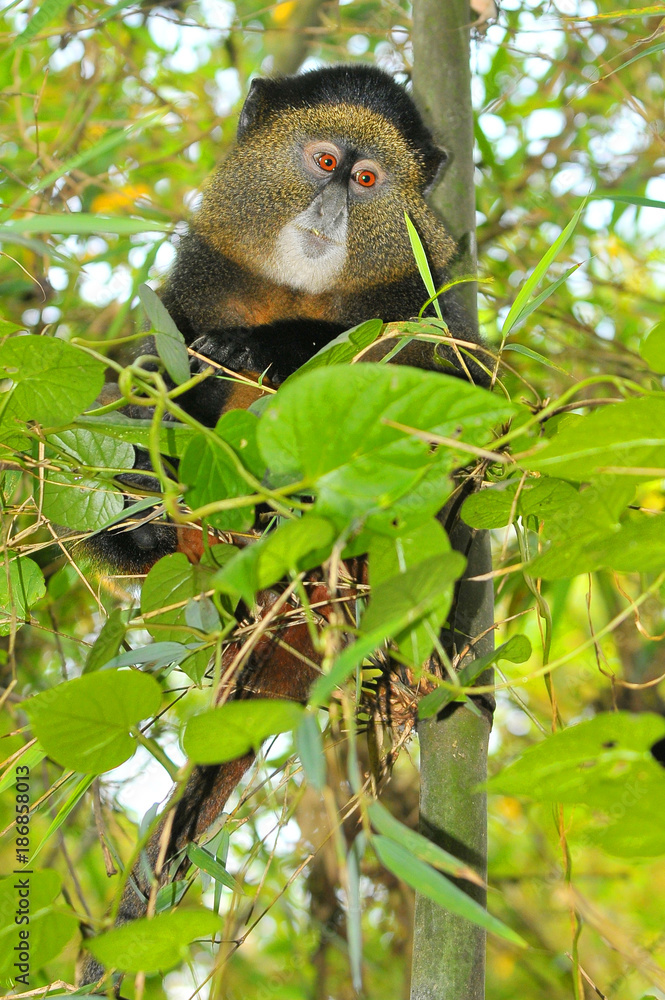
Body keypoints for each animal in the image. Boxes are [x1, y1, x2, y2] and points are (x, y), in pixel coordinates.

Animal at [78, 64, 488, 986]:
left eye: (368, 181)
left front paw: (277, 347)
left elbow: (459, 407)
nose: (330, 211)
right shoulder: (194, 278)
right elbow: (150, 384)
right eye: (324, 160)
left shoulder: (431, 294)